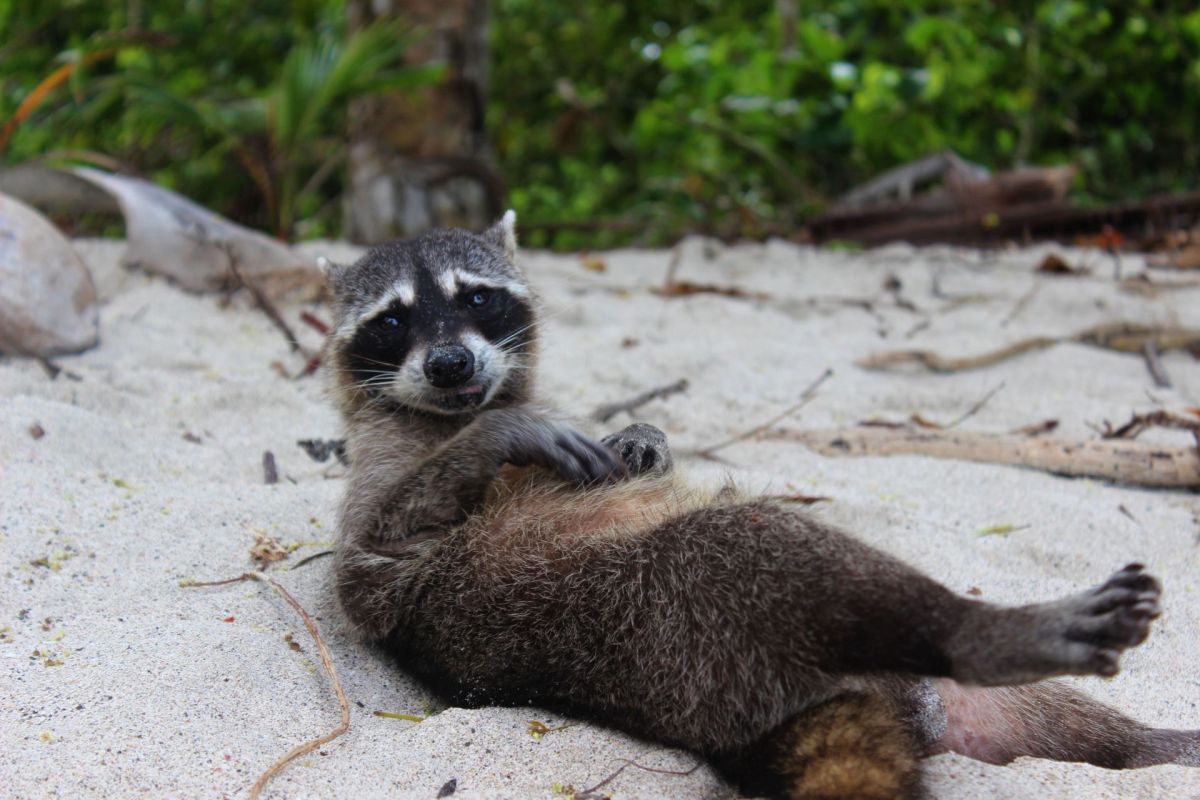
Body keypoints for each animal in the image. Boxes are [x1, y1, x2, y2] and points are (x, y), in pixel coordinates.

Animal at [323, 213, 1199, 799]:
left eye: (477, 299)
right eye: (393, 320)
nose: (449, 363)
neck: (449, 411)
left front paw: (643, 438)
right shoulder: (378, 496)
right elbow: (371, 564)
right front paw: (511, 431)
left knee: (1080, 727)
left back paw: (1156, 745)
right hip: (687, 626)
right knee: (753, 541)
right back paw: (983, 629)